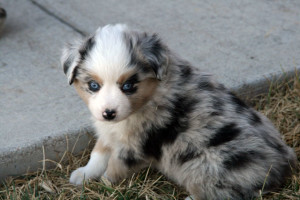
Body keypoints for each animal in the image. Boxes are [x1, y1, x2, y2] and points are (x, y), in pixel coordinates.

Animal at [61, 24, 296, 199]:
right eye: (93, 86)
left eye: (128, 86)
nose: (109, 113)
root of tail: (284, 164)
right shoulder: (109, 132)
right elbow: (98, 153)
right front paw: (83, 175)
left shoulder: (137, 145)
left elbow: (115, 167)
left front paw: (103, 186)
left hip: (206, 164)